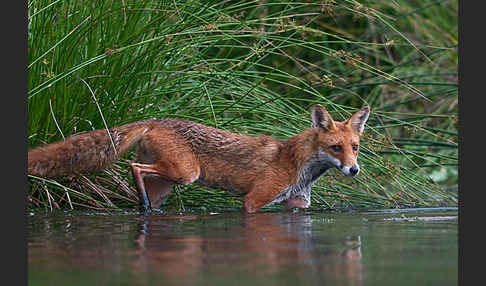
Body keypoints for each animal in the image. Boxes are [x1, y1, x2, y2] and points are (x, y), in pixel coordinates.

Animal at [28, 104, 370, 213]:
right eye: (335, 148)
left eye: (355, 146)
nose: (354, 170)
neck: (298, 164)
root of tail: (157, 120)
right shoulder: (254, 201)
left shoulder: (297, 205)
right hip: (186, 172)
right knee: (134, 166)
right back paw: (143, 204)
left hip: (167, 182)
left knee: (143, 179)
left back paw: (146, 208)